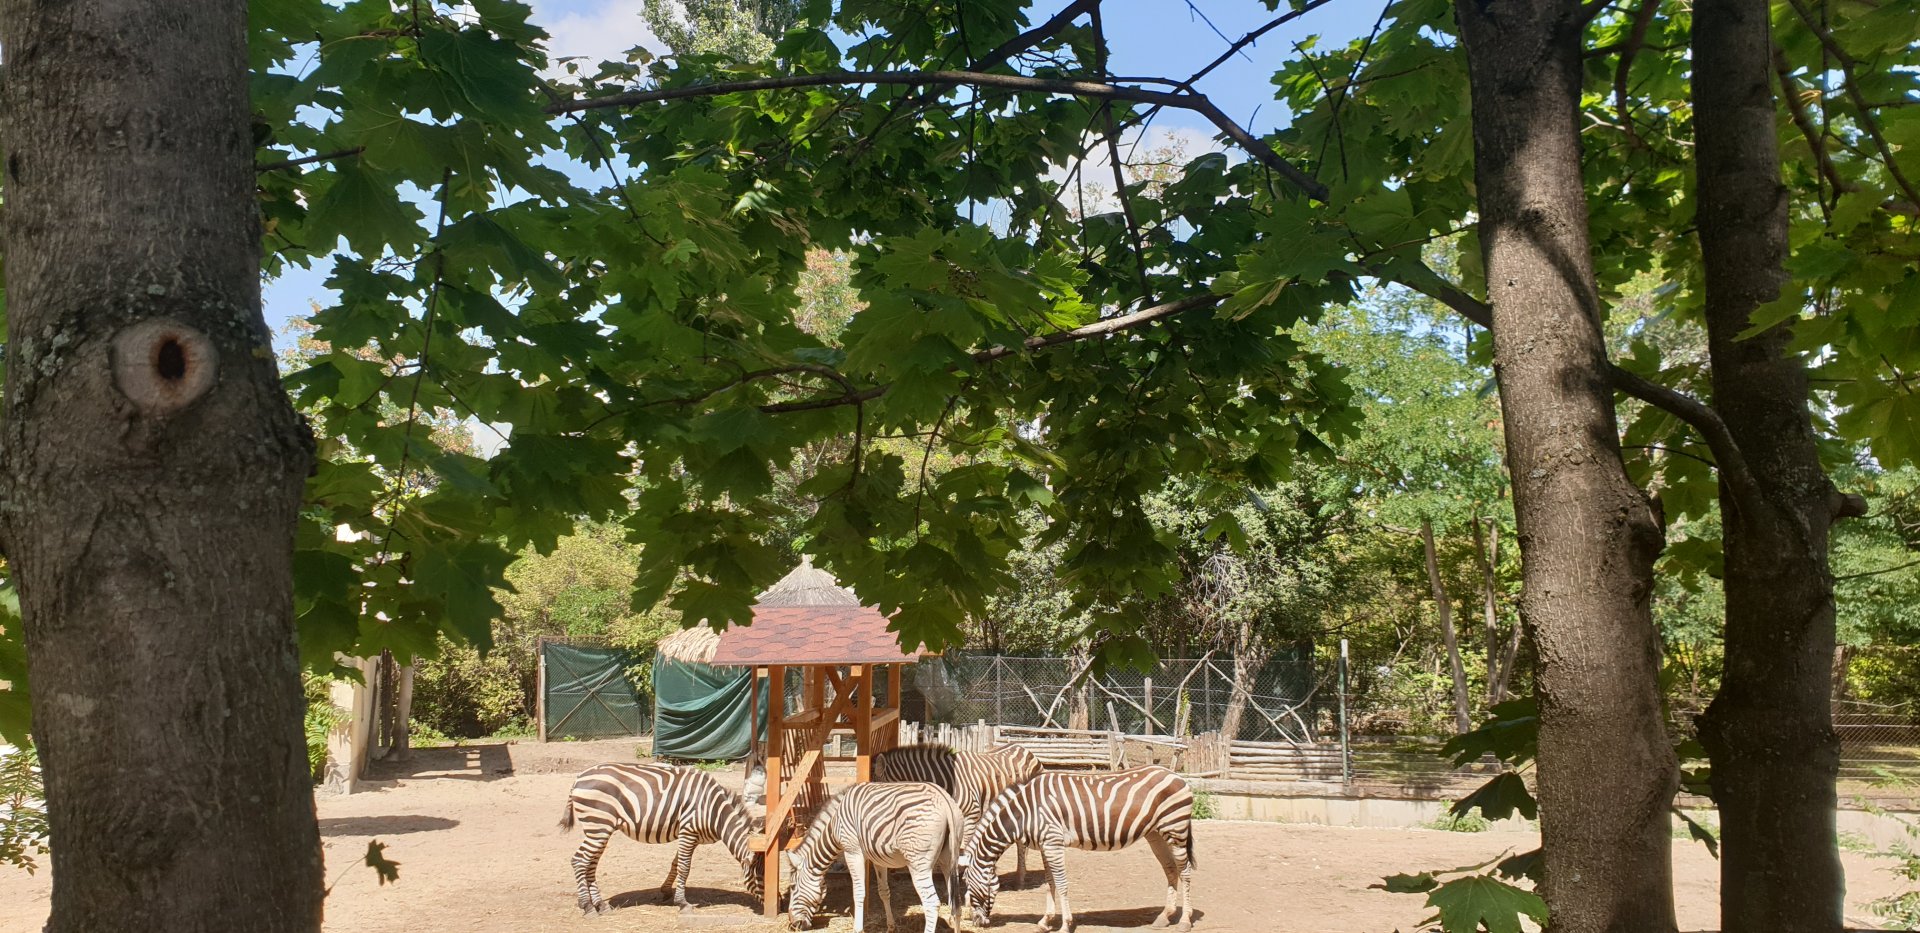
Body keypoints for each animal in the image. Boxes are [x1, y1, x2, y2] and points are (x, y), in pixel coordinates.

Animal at [558, 762, 764, 914]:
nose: (767, 908)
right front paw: (683, 903)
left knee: (590, 864)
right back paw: (588, 906)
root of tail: (579, 777)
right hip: (598, 825)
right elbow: (684, 867)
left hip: (599, 829)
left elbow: (676, 864)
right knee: (579, 860)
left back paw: (600, 905)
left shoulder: (692, 836)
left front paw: (666, 891)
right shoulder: (688, 832)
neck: (714, 812)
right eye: (761, 877)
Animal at [784, 781, 967, 933]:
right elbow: (884, 891)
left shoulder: (852, 852)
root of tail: (943, 799)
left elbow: (858, 892)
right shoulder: (879, 859)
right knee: (956, 903)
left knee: (931, 904)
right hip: (948, 859)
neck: (834, 825)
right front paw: (891, 926)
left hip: (918, 864)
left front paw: (857, 929)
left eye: (792, 887)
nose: (793, 925)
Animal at [874, 742, 1043, 887]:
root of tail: (1022, 747)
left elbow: (965, 847)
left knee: (1021, 844)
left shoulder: (971, 815)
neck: (948, 780)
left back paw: (1020, 879)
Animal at [963, 765, 1196, 933]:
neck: (1024, 811)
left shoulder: (1053, 842)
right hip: (1156, 834)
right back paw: (1164, 917)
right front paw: (1045, 921)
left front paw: (1065, 925)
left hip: (1175, 829)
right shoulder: (1046, 845)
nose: (975, 922)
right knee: (1170, 869)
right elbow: (1049, 883)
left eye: (966, 883)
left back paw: (1185, 921)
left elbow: (1061, 884)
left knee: (1184, 872)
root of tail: (1176, 775)